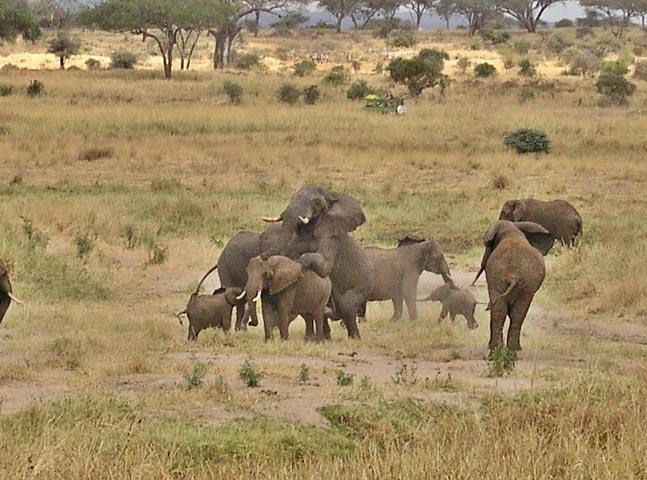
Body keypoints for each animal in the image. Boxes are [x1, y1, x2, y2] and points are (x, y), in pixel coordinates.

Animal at [260, 186, 372, 339]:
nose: (262, 255)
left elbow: (325, 266)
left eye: (316, 203)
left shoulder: (330, 235)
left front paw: (299, 265)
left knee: (347, 306)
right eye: (292, 197)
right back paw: (323, 338)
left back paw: (354, 338)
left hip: (362, 287)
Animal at [472, 220, 554, 353]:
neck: (512, 228)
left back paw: (501, 348)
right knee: (515, 313)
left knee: (505, 312)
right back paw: (510, 349)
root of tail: (513, 276)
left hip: (512, 283)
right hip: (520, 285)